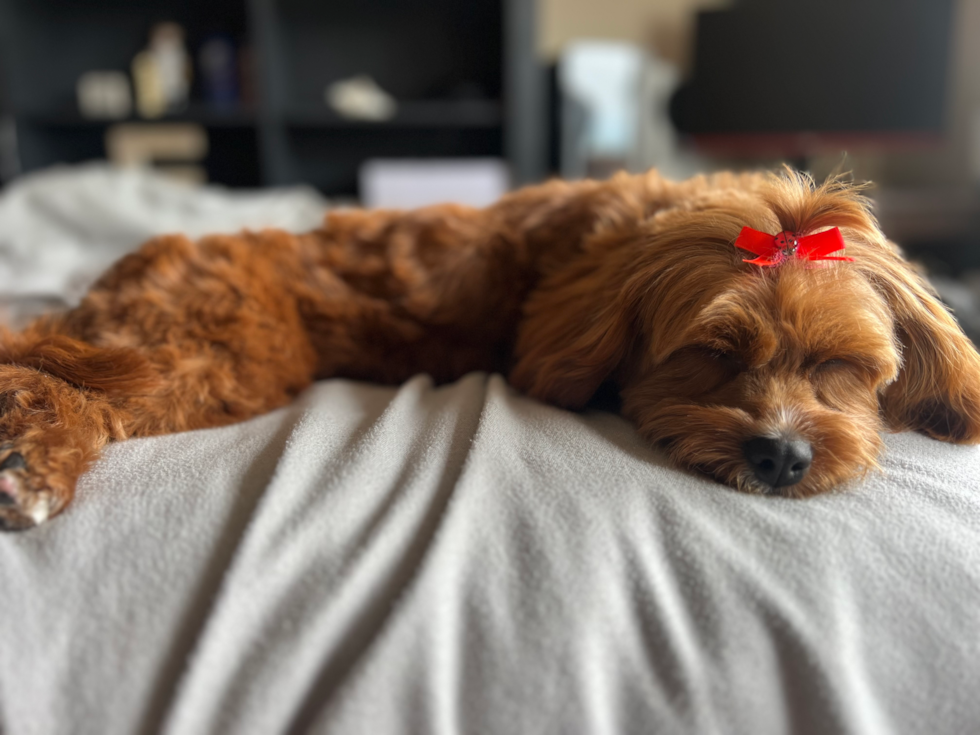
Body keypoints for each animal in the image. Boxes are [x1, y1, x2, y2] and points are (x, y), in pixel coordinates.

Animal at [1, 170, 980, 528]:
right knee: (60, 386)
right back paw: (37, 470)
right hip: (207, 355)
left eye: (843, 367)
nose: (781, 455)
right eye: (714, 349)